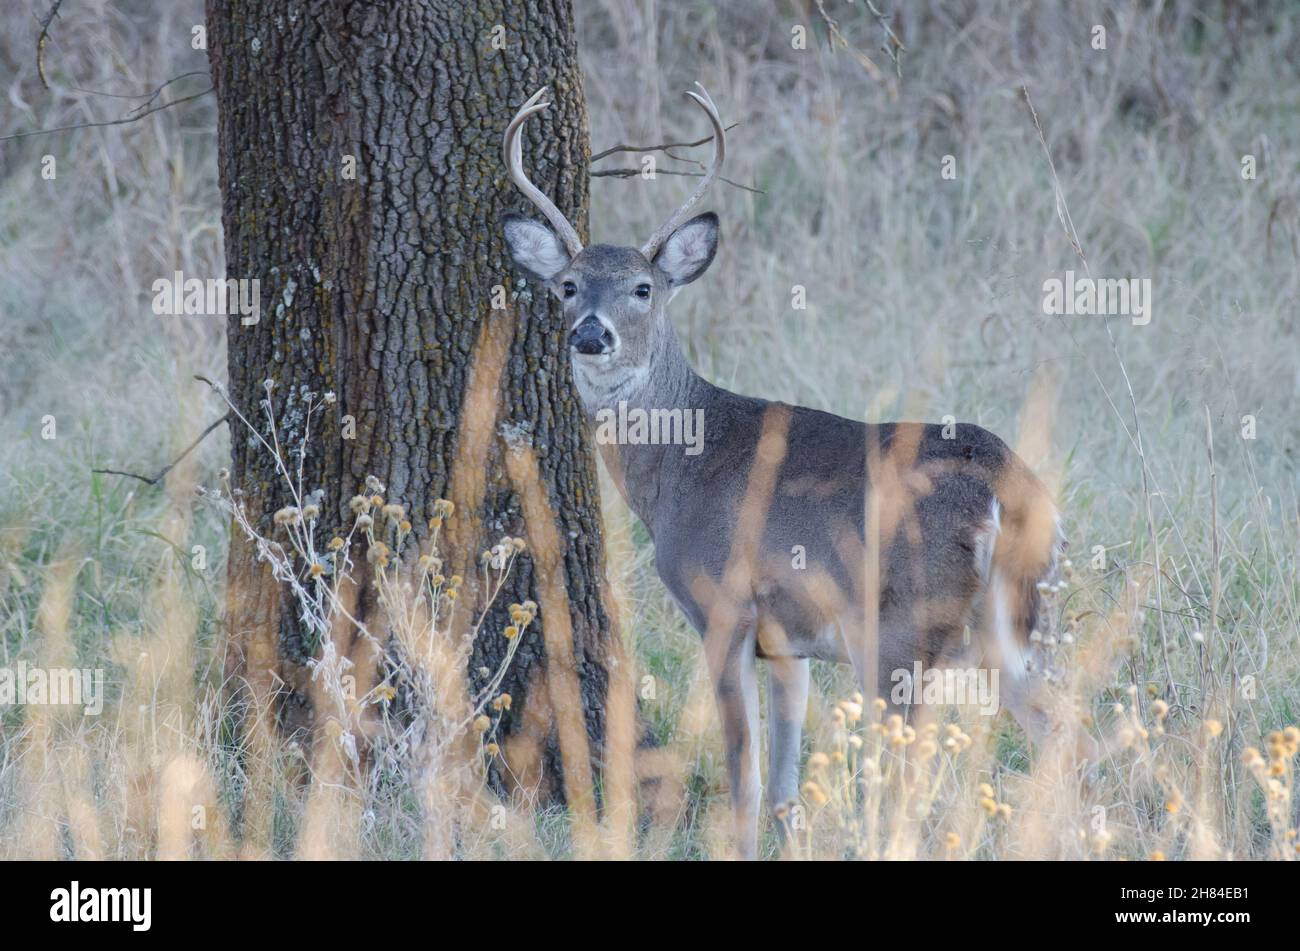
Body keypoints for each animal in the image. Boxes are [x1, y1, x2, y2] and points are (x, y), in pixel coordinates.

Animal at [501, 85, 1065, 860]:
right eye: (566, 285)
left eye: (643, 288)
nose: (591, 332)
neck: (680, 464)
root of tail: (1006, 489)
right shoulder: (788, 642)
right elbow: (784, 792)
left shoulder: (724, 605)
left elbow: (744, 779)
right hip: (1013, 624)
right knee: (1065, 735)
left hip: (901, 628)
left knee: (911, 779)